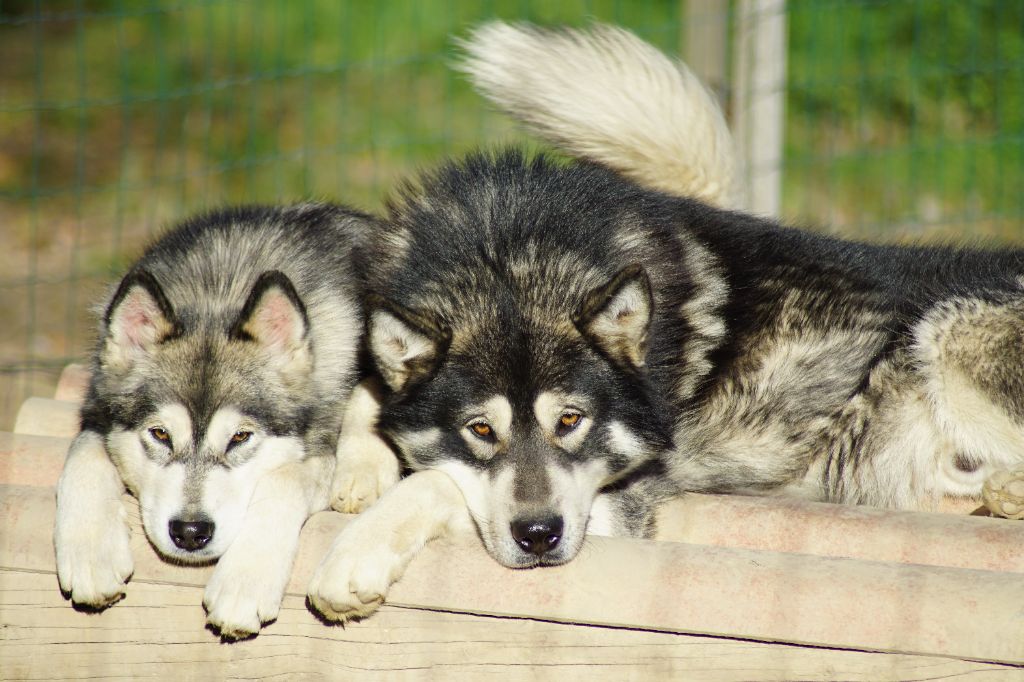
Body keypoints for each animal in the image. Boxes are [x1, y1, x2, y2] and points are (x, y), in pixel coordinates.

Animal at [54, 202, 399, 638]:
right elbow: (82, 453)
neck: (220, 290)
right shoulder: (96, 414)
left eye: (240, 437)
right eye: (160, 434)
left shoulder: (320, 446)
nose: (190, 533)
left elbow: (285, 477)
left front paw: (244, 582)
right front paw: (89, 551)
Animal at [307, 21, 1024, 618]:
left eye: (571, 421)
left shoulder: (618, 504)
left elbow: (437, 484)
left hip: (951, 331)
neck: (511, 254)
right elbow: (370, 392)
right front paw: (360, 469)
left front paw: (354, 555)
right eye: (480, 429)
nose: (539, 537)